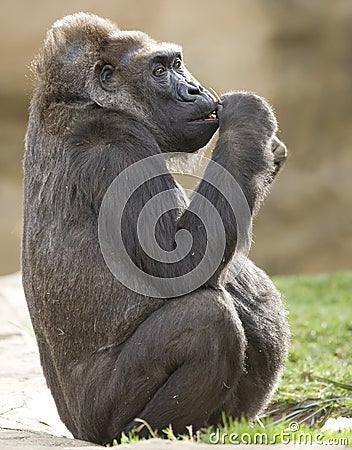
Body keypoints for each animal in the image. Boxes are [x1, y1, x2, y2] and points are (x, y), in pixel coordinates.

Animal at [23, 12, 290, 444]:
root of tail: (76, 428)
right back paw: (147, 432)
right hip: (98, 416)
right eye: (159, 70)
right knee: (207, 320)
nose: (194, 89)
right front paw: (248, 119)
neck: (79, 99)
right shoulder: (115, 145)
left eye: (177, 63)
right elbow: (182, 262)